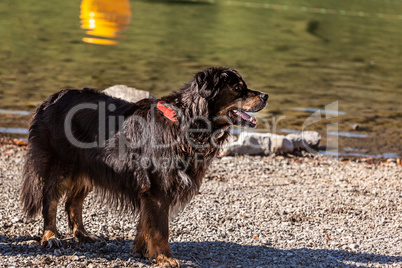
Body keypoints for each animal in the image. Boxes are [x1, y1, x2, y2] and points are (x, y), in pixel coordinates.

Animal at [21, 66, 266, 266]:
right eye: (237, 88)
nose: (265, 95)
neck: (186, 123)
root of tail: (52, 98)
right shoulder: (159, 187)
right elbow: (160, 229)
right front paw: (166, 258)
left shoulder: (150, 190)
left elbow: (145, 223)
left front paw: (142, 251)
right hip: (62, 164)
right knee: (50, 199)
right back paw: (50, 236)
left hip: (89, 167)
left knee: (73, 202)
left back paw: (82, 234)